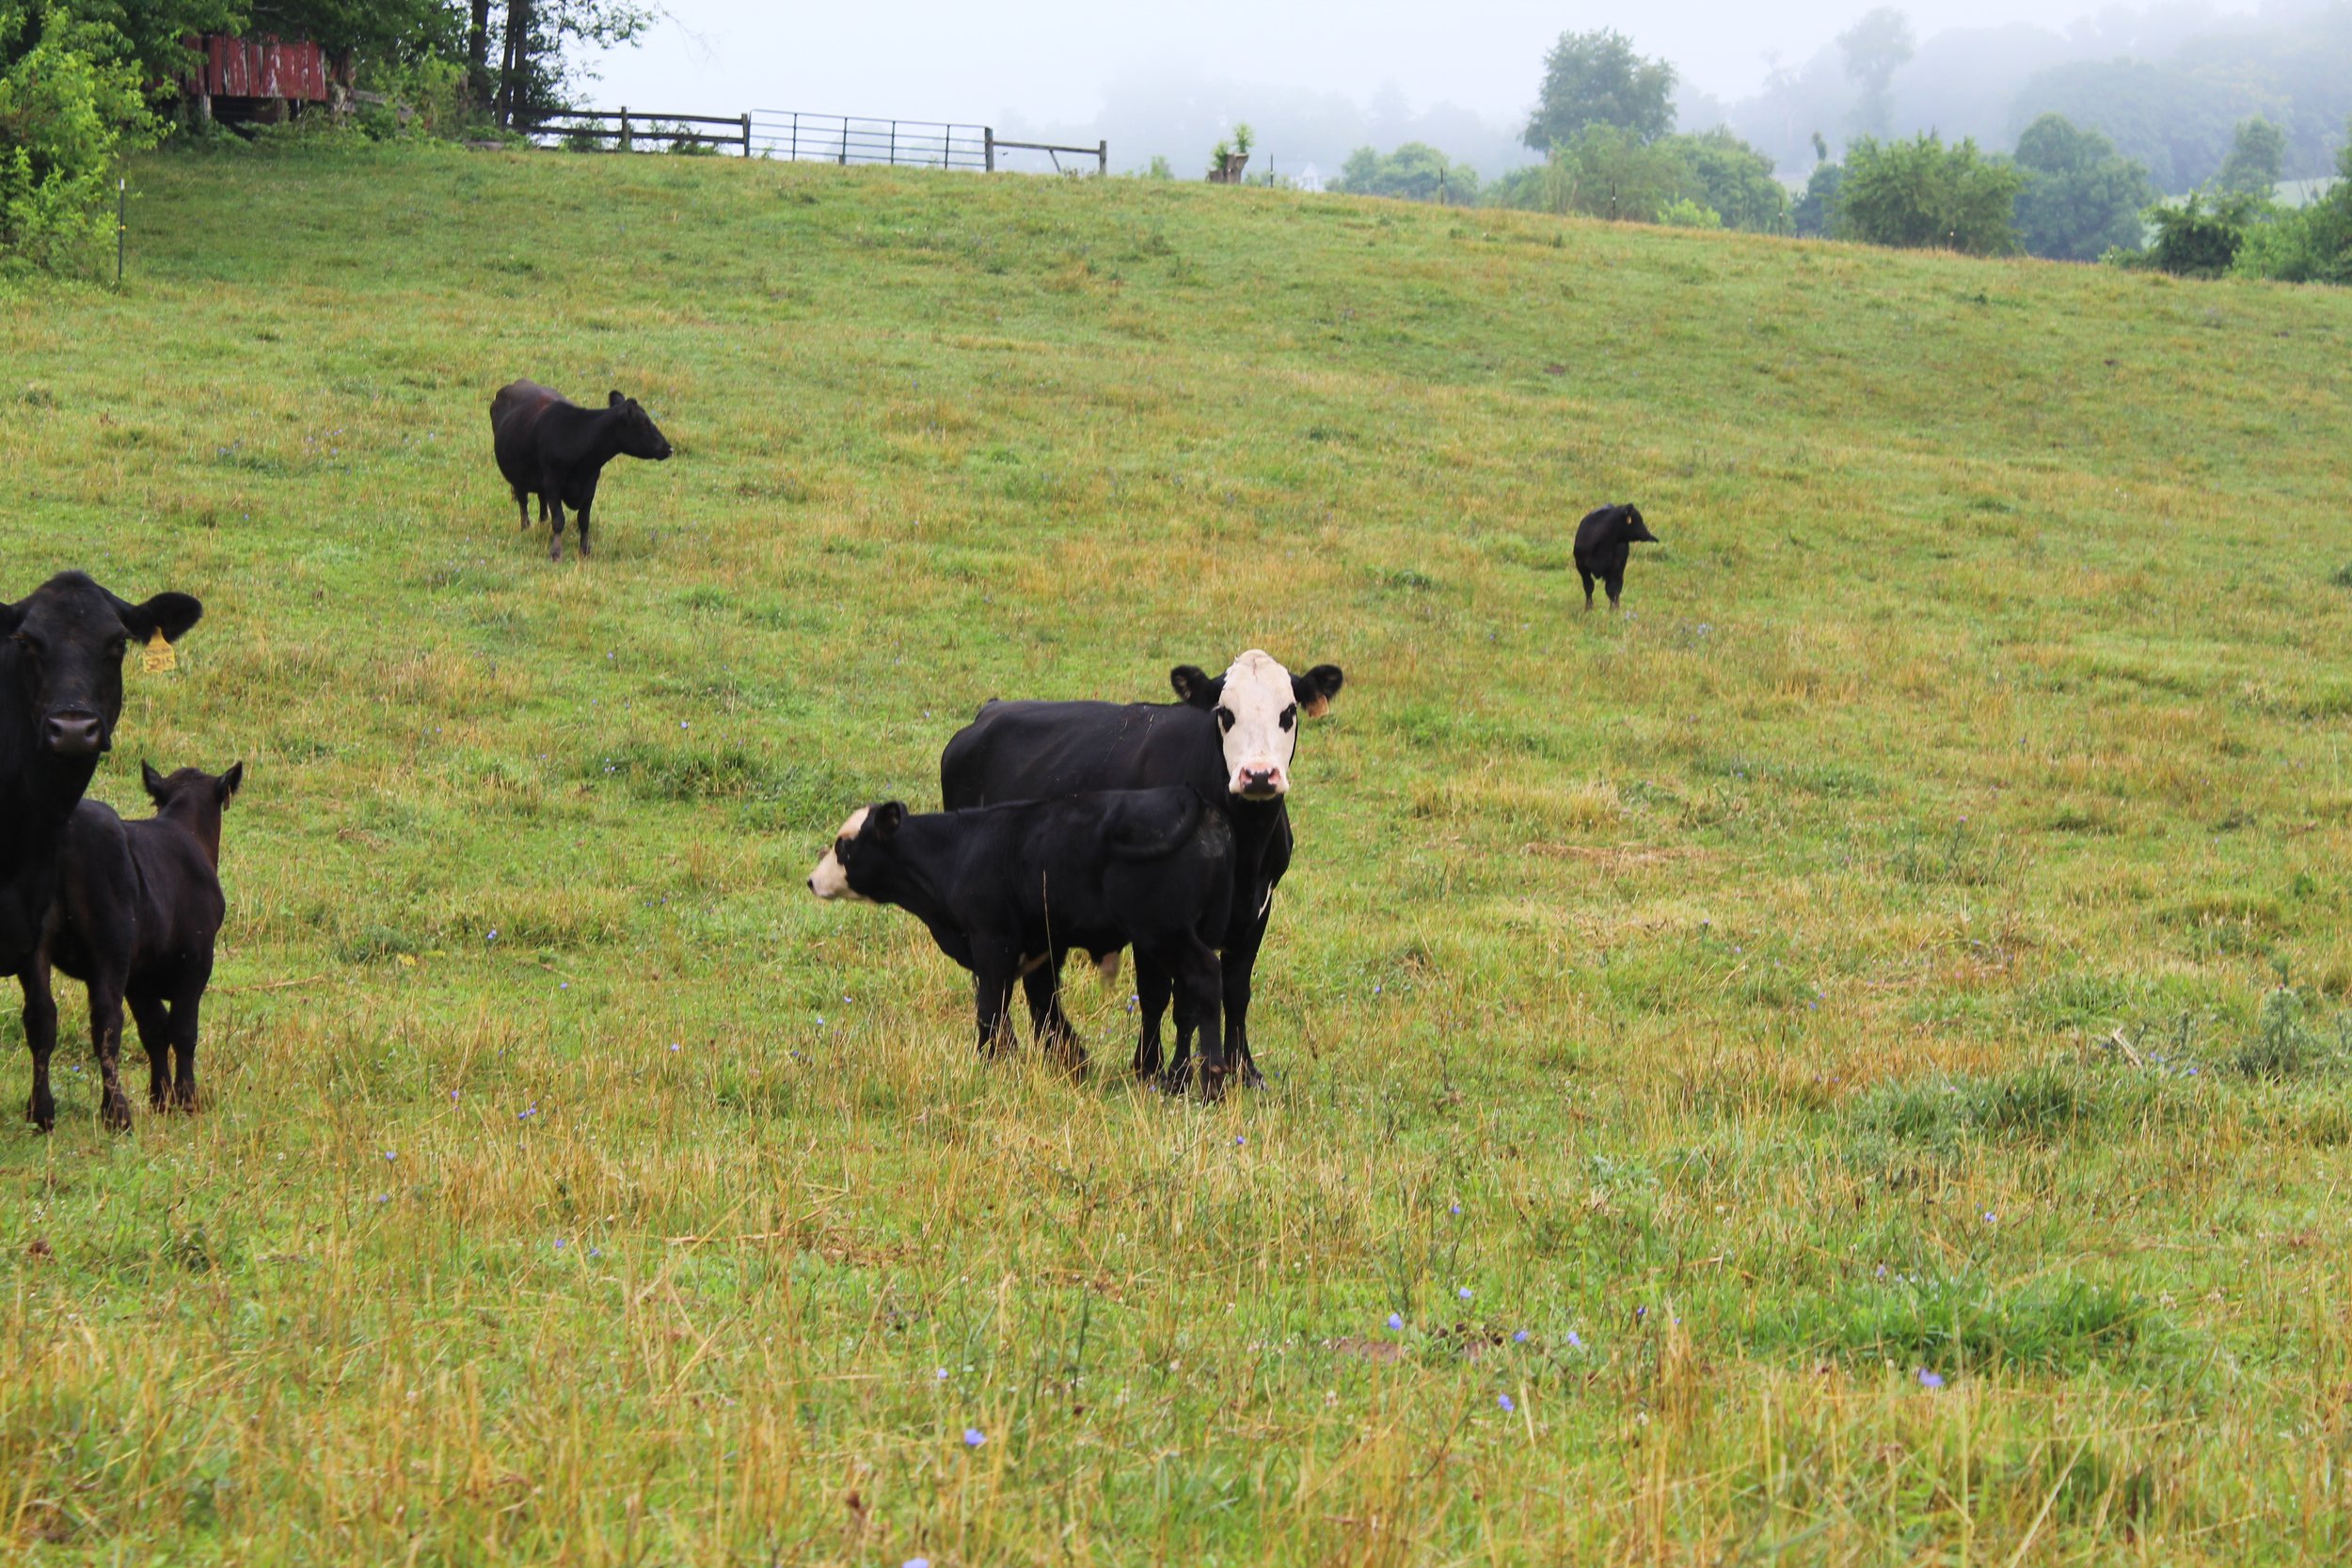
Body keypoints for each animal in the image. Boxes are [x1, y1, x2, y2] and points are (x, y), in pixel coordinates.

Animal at [2, 572, 204, 1131]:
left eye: (117, 644)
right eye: (26, 642)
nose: (73, 729)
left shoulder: (33, 924)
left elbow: (43, 1018)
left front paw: (44, 1112)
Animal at [34, 762, 241, 1119]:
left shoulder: (140, 976)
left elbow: (154, 1031)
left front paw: (162, 1098)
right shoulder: (197, 960)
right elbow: (183, 1031)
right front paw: (187, 1098)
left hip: (37, 945)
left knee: (42, 1018)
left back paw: (41, 1112)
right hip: (110, 946)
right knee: (106, 1023)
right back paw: (116, 1113)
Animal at [489, 379, 673, 562]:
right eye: (643, 423)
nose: (669, 448)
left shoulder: (590, 483)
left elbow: (584, 519)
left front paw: (585, 551)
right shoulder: (552, 481)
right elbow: (558, 519)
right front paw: (556, 552)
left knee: (541, 501)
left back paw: (542, 524)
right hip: (518, 476)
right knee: (523, 502)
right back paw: (526, 528)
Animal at [808, 789, 1234, 1081]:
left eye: (844, 846)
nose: (812, 881)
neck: (959, 850)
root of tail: (1187, 798)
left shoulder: (992, 940)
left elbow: (991, 1008)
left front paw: (987, 1064)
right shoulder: (1042, 947)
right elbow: (1043, 1006)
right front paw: (1069, 1061)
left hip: (1165, 932)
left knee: (1204, 977)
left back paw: (1210, 1077)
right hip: (1183, 933)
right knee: (1186, 998)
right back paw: (1178, 1078)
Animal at [937, 649, 1344, 1092]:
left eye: (1288, 712)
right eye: (1225, 713)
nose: (1258, 775)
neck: (1244, 850)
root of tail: (992, 709)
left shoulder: (1256, 909)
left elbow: (1236, 990)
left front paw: (1244, 1071)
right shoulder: (1155, 909)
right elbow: (1160, 994)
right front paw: (1157, 1071)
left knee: (1037, 978)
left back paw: (1063, 1056)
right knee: (996, 974)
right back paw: (1008, 1051)